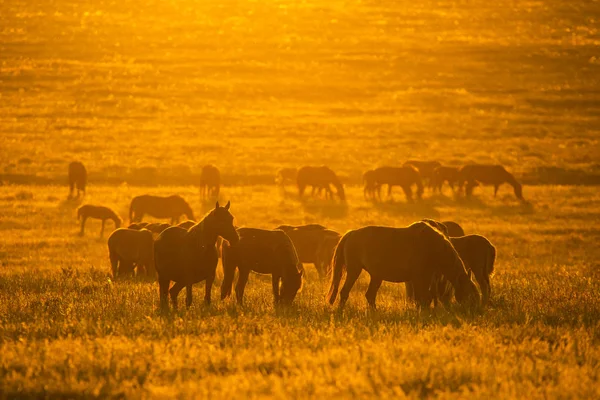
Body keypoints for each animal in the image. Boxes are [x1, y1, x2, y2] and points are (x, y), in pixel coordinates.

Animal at [326, 222, 480, 310]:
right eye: (470, 295)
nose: (475, 312)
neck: (433, 246)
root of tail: (351, 233)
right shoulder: (418, 278)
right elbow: (421, 299)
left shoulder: (427, 277)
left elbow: (426, 298)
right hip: (354, 270)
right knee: (344, 292)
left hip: (376, 276)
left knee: (370, 295)